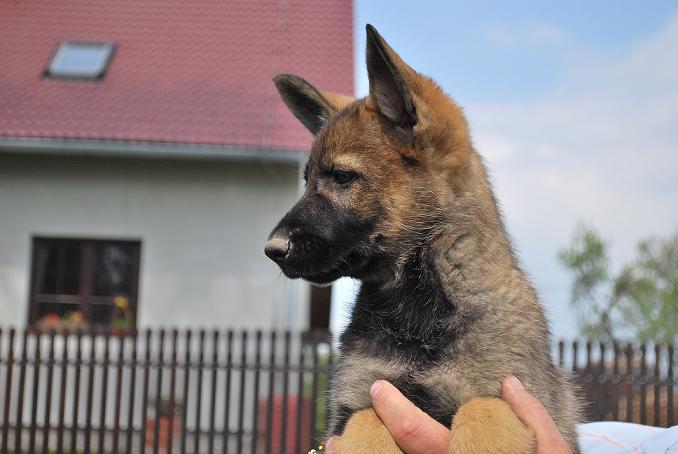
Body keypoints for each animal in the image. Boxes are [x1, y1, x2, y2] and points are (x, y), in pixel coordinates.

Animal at [265, 24, 581, 453]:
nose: (272, 249)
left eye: (343, 177)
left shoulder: (512, 394)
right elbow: (367, 422)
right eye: (307, 181)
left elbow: (483, 409)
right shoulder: (359, 402)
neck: (414, 310)